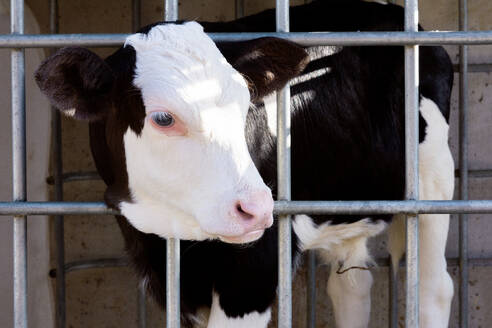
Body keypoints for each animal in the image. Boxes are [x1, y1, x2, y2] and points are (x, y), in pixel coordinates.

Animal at [36, 0, 456, 328]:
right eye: (163, 118)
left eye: (245, 102)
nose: (256, 208)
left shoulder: (253, 273)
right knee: (352, 284)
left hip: (434, 172)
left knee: (433, 287)